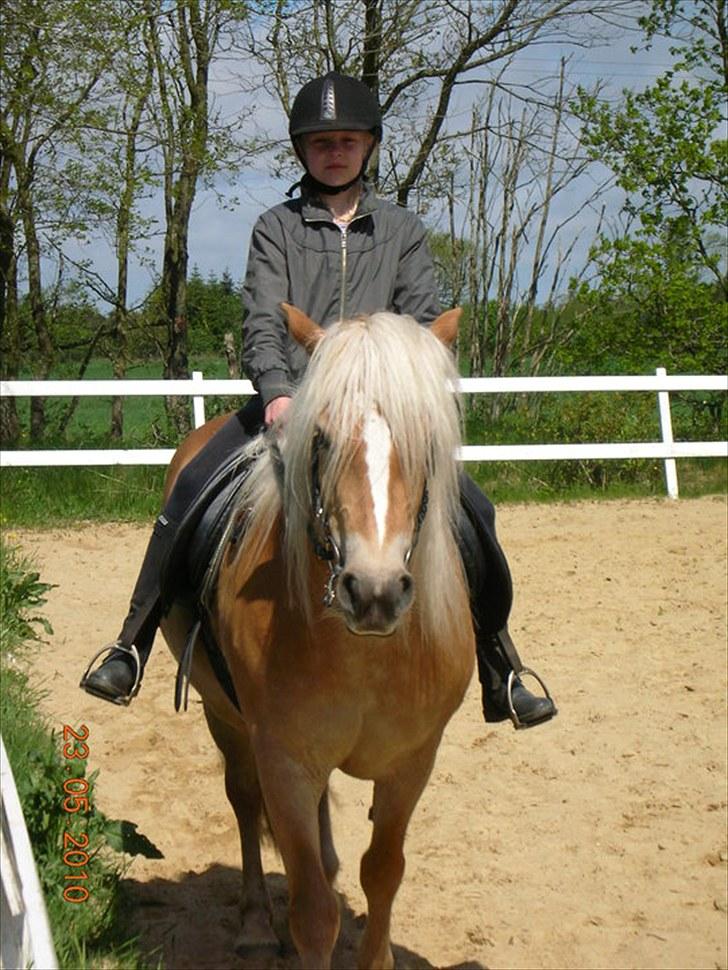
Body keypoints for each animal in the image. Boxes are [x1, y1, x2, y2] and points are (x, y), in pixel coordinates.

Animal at [160, 304, 474, 968]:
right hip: (223, 716)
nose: (374, 590)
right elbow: (311, 912)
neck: (364, 656)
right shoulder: (284, 760)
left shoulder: (413, 761)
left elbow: (383, 870)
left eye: (427, 439)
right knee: (242, 800)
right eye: (322, 437)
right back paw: (255, 923)